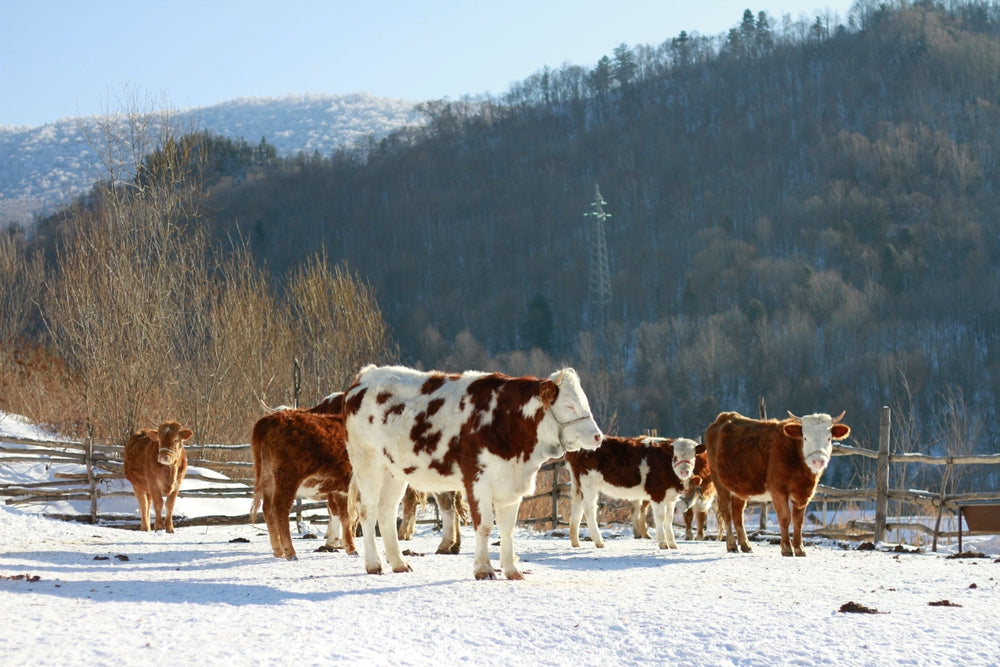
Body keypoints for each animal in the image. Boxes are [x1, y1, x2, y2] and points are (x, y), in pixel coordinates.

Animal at [250, 394, 356, 560]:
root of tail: (270, 419)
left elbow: (345, 515)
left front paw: (348, 547)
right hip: (287, 478)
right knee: (280, 509)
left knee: (267, 508)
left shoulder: (340, 488)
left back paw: (278, 550)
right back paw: (290, 552)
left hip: (268, 478)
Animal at [344, 364, 604, 580]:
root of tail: (365, 375)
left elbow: (507, 529)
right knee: (368, 511)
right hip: (367, 462)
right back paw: (374, 564)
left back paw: (398, 562)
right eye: (569, 405)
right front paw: (484, 569)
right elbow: (485, 525)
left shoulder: (511, 486)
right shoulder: (477, 481)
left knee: (386, 512)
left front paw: (512, 570)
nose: (598, 437)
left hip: (393, 472)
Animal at [566, 436, 700, 550]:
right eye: (675, 456)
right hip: (589, 483)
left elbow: (669, 519)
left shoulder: (671, 497)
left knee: (577, 507)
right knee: (589, 508)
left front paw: (673, 544)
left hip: (578, 484)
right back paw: (599, 541)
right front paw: (662, 543)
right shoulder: (657, 493)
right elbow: (660, 517)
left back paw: (575, 542)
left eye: (693, 457)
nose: (684, 472)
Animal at [705, 410, 851, 557]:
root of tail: (725, 417)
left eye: (829, 438)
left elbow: (798, 521)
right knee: (726, 512)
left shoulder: (803, 493)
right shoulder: (778, 491)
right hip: (719, 482)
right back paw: (731, 545)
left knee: (738, 514)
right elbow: (785, 518)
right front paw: (786, 548)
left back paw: (746, 545)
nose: (818, 461)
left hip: (739, 486)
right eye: (805, 438)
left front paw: (799, 548)